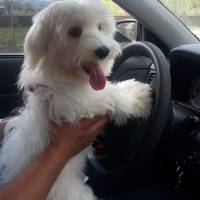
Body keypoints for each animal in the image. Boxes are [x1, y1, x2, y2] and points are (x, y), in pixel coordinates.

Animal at [0, 0, 151, 199]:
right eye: (74, 31)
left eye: (99, 27)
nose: (104, 51)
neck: (67, 76)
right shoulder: (69, 103)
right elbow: (108, 95)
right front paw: (138, 96)